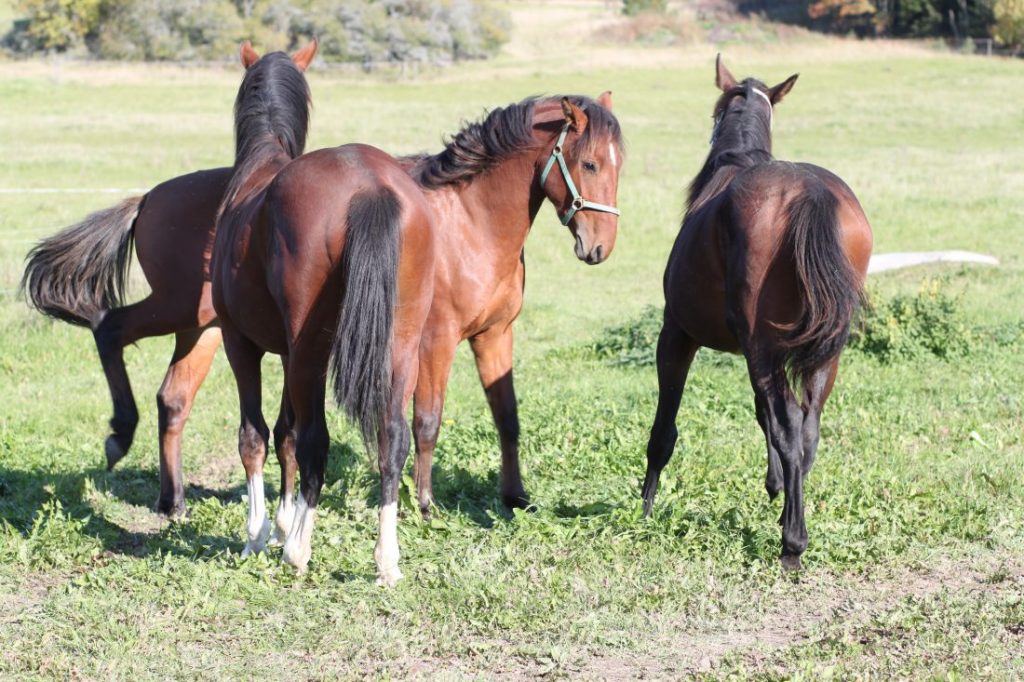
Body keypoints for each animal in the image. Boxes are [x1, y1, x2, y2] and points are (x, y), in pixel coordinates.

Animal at [641, 56, 872, 570]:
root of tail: (809, 192)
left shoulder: (677, 334)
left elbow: (664, 431)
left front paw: (643, 512)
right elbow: (766, 416)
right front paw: (775, 485)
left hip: (759, 347)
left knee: (790, 428)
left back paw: (792, 544)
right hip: (826, 351)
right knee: (807, 429)